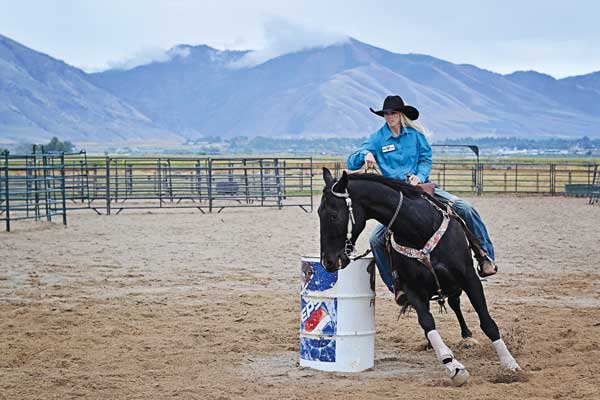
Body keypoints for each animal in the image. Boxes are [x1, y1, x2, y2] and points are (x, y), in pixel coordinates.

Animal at [318, 168, 520, 384]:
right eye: (319, 213)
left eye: (333, 215)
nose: (328, 262)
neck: (419, 228)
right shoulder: (412, 288)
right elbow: (427, 322)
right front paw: (452, 365)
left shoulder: (469, 278)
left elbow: (487, 321)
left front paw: (509, 363)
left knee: (455, 303)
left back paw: (467, 337)